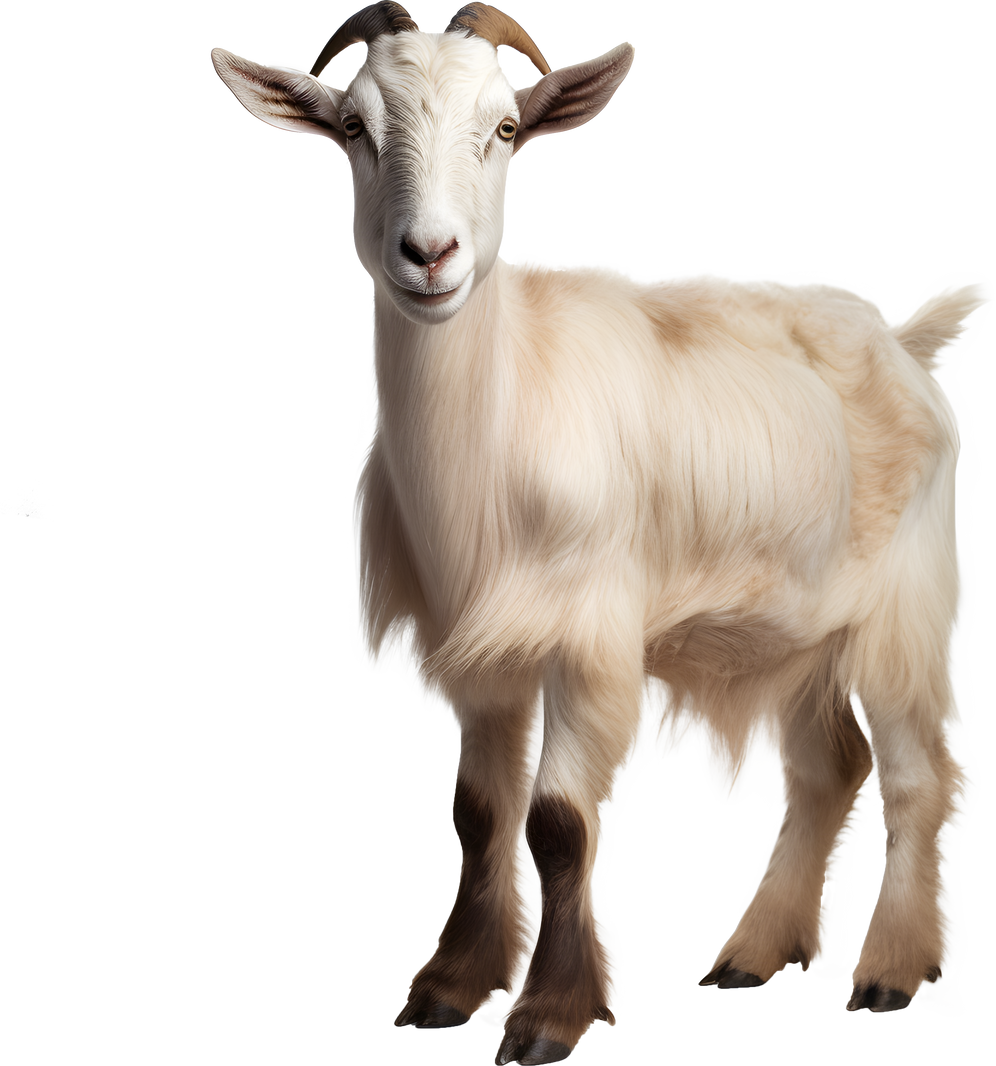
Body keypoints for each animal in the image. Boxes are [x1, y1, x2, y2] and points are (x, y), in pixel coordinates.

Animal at [210, 3, 988, 1060]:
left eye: (505, 128)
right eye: (355, 128)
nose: (430, 254)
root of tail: (906, 338)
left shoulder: (589, 635)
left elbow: (560, 823)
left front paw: (551, 1014)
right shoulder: (484, 652)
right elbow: (479, 813)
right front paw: (449, 988)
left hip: (905, 604)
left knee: (919, 775)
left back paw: (891, 974)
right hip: (798, 628)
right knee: (828, 769)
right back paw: (751, 956)